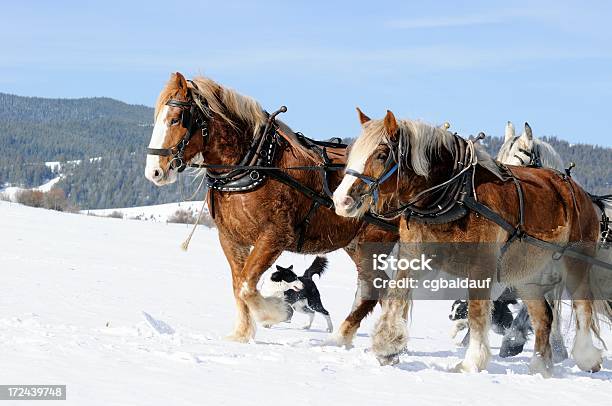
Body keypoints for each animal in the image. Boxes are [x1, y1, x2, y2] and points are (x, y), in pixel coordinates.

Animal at [146, 72, 400, 342]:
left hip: (373, 240)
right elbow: (238, 285)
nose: (154, 171)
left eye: (175, 119)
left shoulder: (274, 236)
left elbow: (247, 286)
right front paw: (241, 334)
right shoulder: (231, 238)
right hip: (355, 245)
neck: (255, 164)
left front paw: (274, 313)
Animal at [332, 109, 608, 376]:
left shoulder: (482, 266)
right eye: (352, 152)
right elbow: (395, 296)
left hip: (575, 262)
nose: (341, 200)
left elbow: (476, 312)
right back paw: (540, 366)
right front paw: (387, 347)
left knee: (582, 307)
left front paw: (472, 362)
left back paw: (586, 357)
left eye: (381, 154)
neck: (454, 194)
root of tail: (580, 192)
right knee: (544, 317)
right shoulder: (413, 255)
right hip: (526, 273)